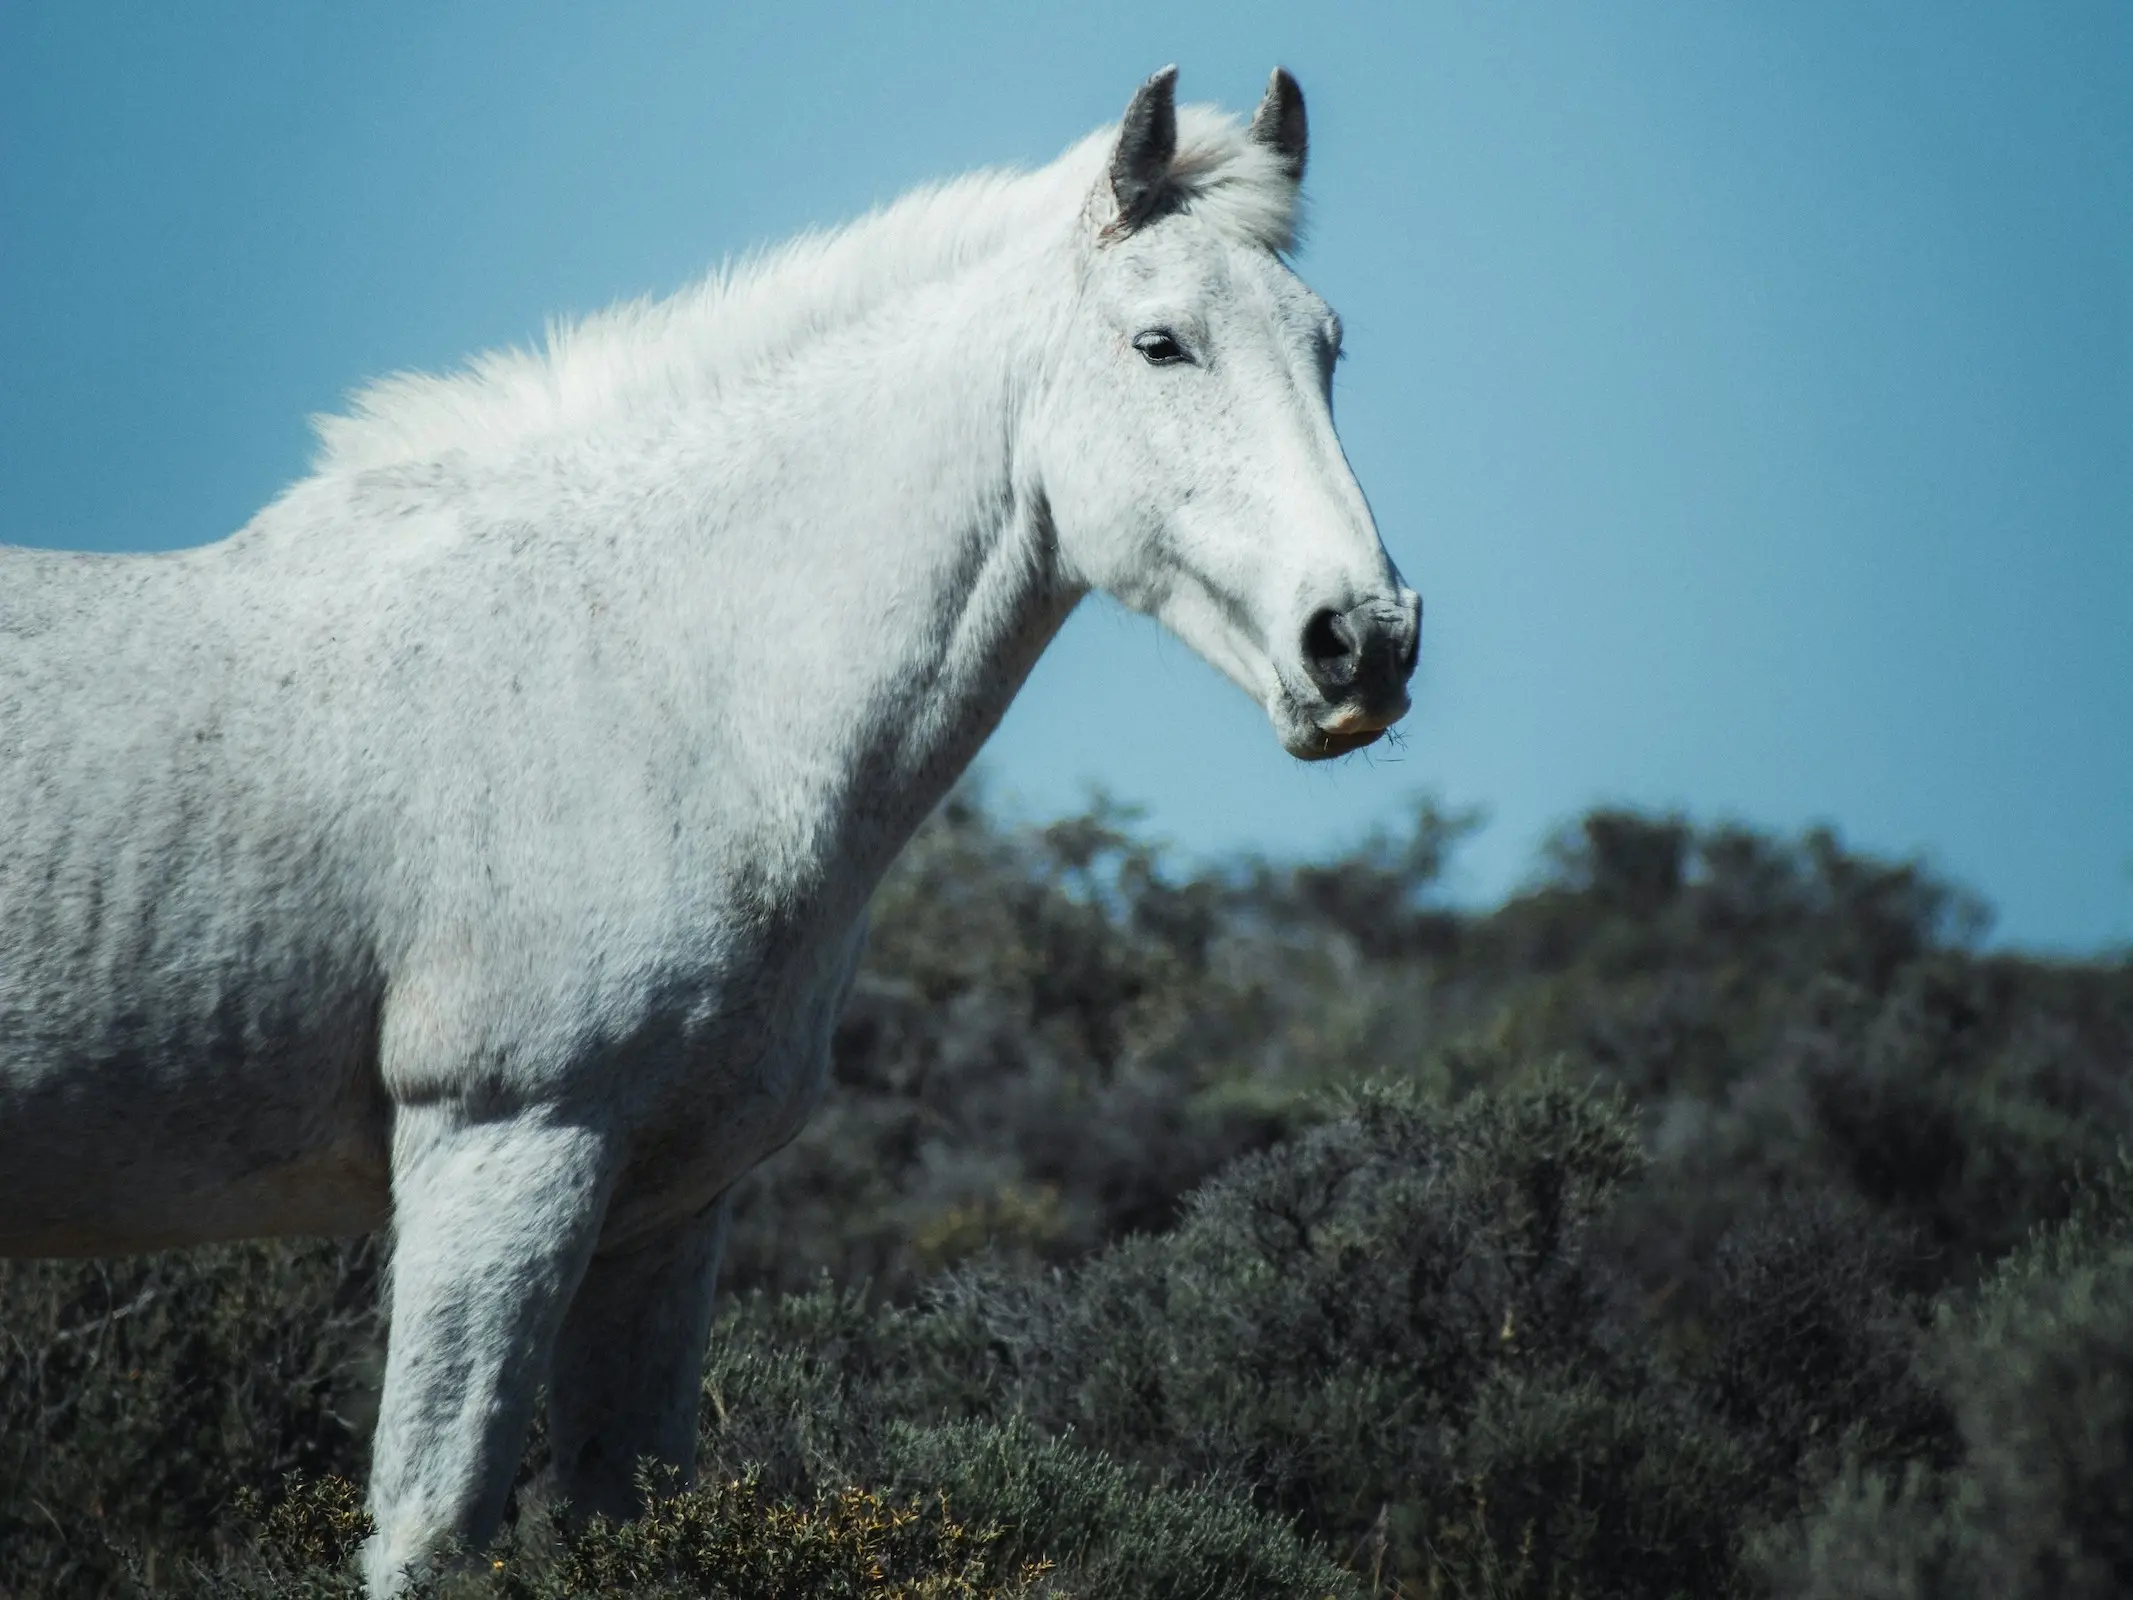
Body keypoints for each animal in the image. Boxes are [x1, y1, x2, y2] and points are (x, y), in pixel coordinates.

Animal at [8, 68, 1424, 1595]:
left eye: (1328, 346)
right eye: (1160, 344)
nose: (1364, 643)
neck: (648, 676)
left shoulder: (668, 1214)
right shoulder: (499, 1154)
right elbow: (431, 1522)